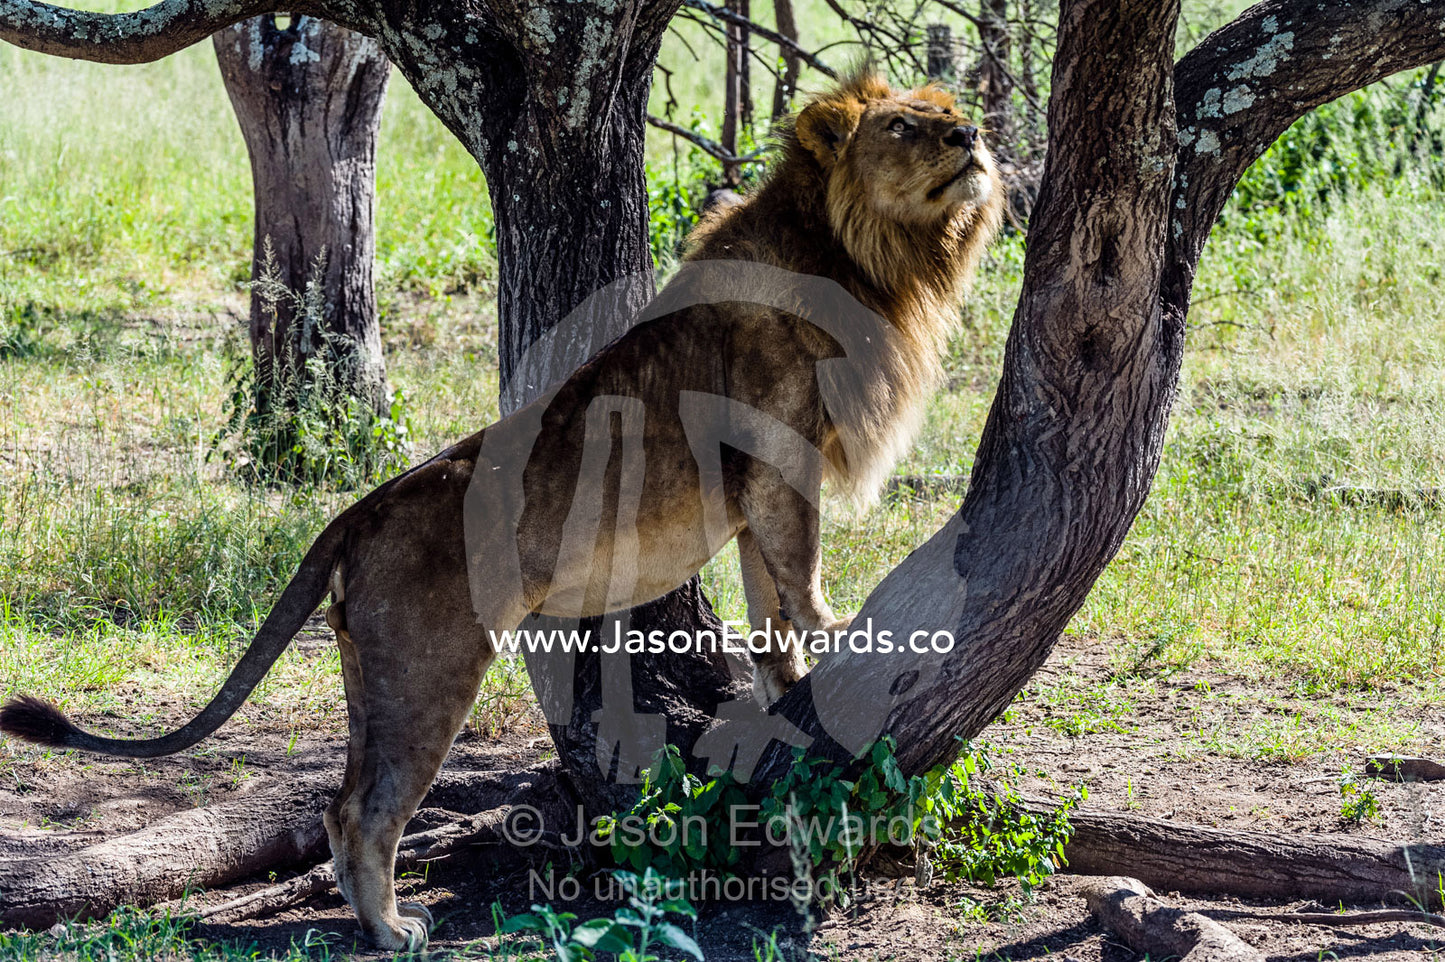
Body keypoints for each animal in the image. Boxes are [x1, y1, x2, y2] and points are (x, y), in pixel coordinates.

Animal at [0, 72, 1002, 950]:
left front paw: (790, 690)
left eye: (948, 113)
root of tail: (357, 515)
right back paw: (391, 933)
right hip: (430, 671)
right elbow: (801, 576)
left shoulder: (760, 487)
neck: (859, 256)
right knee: (365, 810)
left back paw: (380, 917)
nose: (972, 137)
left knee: (337, 799)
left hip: (375, 674)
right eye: (903, 127)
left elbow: (768, 609)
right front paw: (841, 637)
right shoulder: (778, 464)